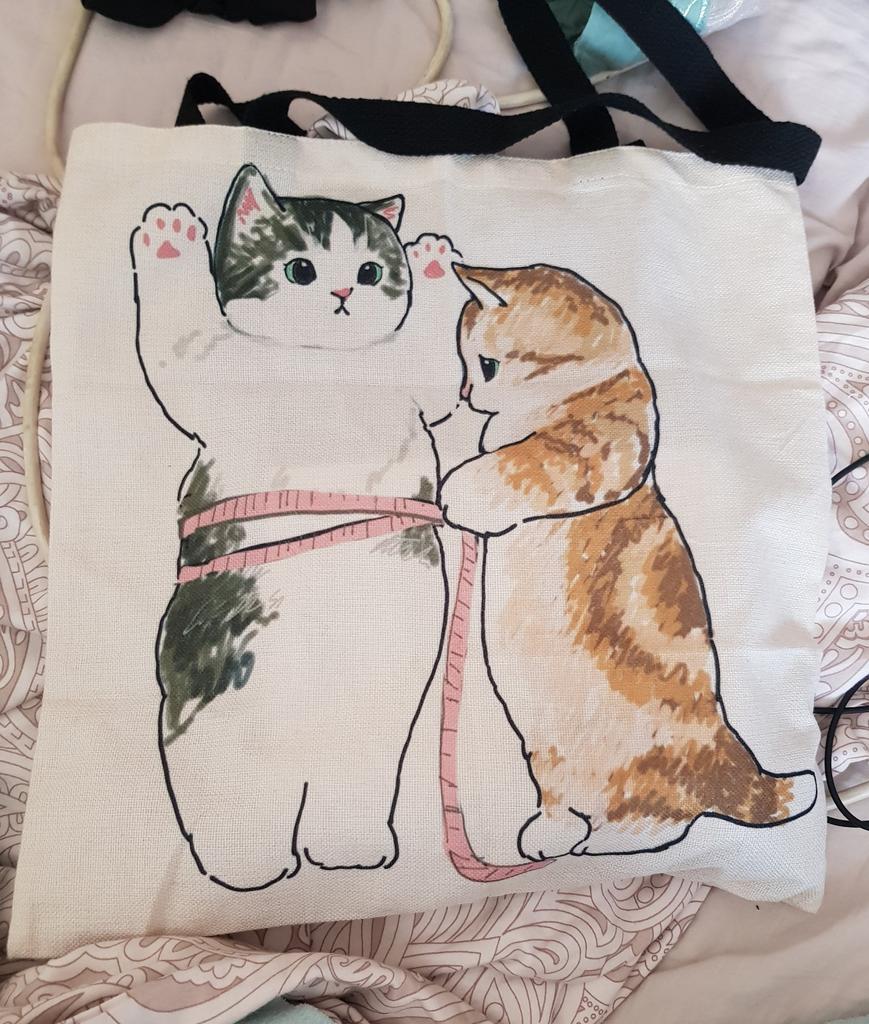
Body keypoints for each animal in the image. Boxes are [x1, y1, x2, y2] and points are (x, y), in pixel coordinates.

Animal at [130, 164, 462, 889]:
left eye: (370, 271)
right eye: (301, 269)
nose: (342, 293)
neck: (322, 358)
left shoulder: (416, 386)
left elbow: (439, 366)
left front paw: (433, 261)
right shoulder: (208, 375)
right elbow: (172, 347)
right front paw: (169, 238)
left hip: (369, 741)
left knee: (348, 792)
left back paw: (350, 849)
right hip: (227, 737)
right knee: (235, 809)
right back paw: (247, 868)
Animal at [440, 262, 818, 860]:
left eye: (485, 365)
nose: (465, 393)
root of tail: (732, 759)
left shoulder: (607, 441)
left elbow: (529, 461)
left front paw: (466, 490)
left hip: (637, 760)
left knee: (665, 817)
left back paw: (609, 840)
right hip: (546, 743)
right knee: (563, 794)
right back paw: (552, 834)